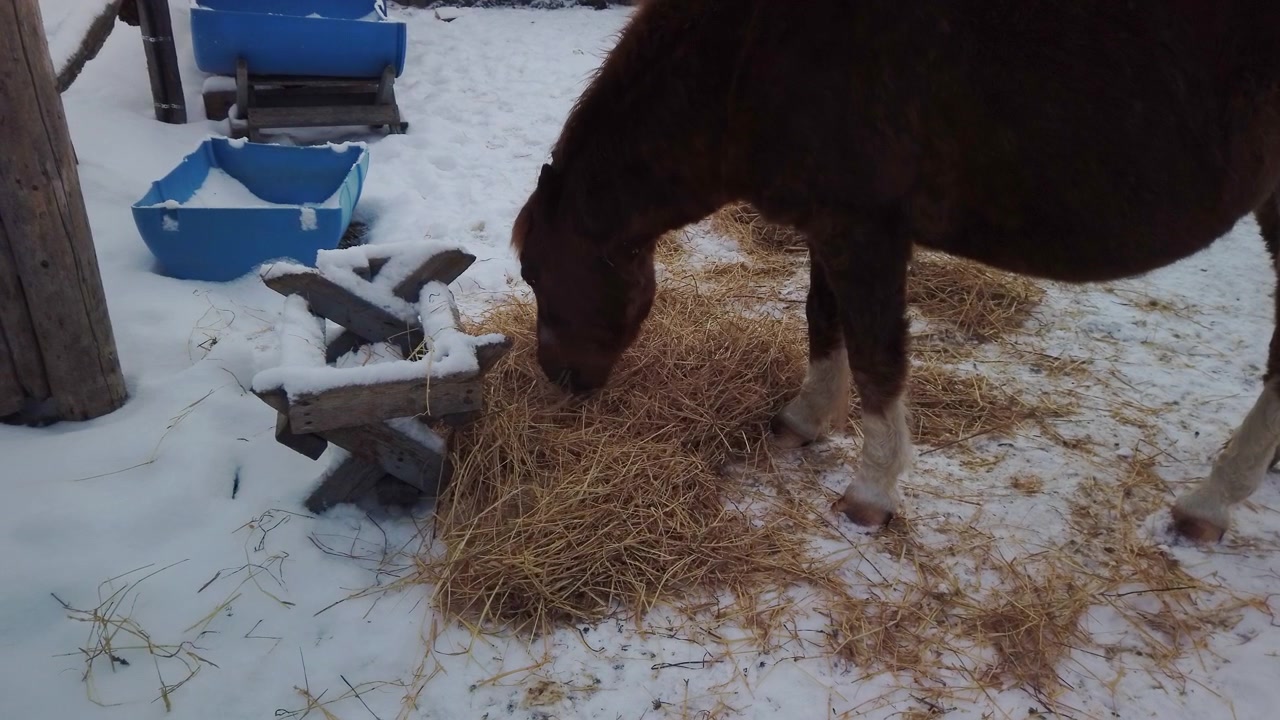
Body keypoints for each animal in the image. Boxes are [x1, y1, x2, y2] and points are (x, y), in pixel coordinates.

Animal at [512, 0, 1280, 543]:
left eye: (530, 269)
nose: (561, 378)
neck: (753, 54)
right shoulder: (828, 224)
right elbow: (823, 321)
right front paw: (804, 419)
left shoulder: (865, 230)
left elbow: (877, 358)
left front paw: (870, 495)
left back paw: (1210, 502)